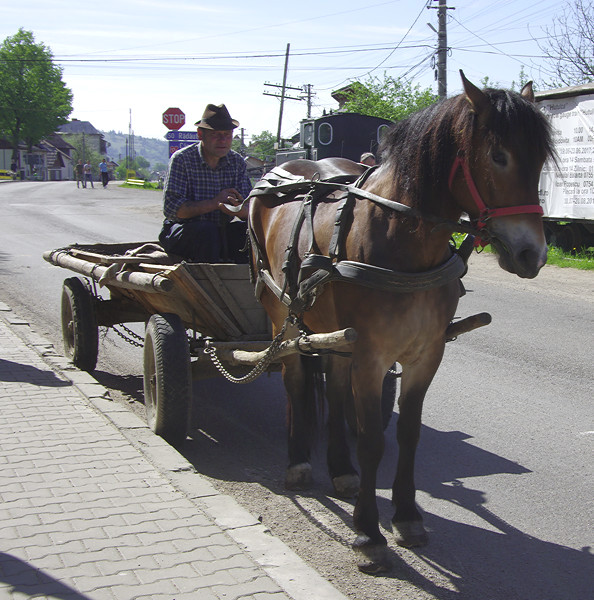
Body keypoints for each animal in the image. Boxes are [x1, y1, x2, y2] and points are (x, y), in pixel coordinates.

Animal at [245, 72, 556, 576]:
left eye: (541, 159)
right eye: (498, 155)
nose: (534, 254)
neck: (401, 237)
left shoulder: (425, 354)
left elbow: (408, 434)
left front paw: (407, 516)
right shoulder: (372, 356)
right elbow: (373, 439)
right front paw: (369, 534)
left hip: (336, 333)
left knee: (334, 387)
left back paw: (341, 469)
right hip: (282, 317)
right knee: (295, 379)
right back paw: (299, 462)